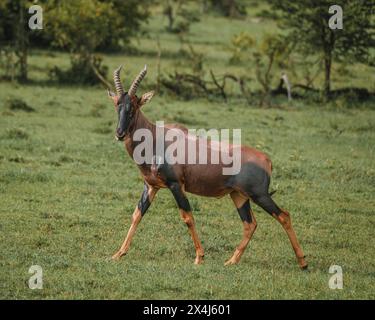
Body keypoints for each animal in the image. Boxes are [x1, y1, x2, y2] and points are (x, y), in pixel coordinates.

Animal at [106, 64, 308, 268]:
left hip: (259, 194)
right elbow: (137, 215)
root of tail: (266, 160)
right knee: (250, 224)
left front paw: (199, 257)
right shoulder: (150, 186)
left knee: (284, 216)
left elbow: (187, 217)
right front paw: (118, 254)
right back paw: (231, 261)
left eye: (134, 106)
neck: (157, 138)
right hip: (239, 196)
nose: (120, 133)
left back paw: (303, 262)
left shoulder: (176, 185)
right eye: (117, 105)